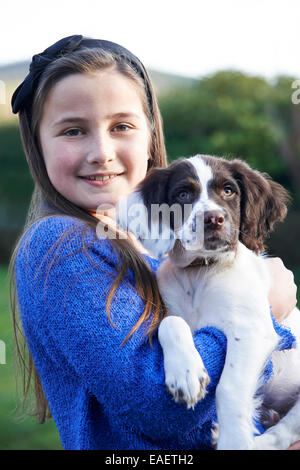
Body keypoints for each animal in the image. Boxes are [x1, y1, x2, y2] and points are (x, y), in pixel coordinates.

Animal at [117, 155, 300, 452]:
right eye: (183, 194)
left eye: (228, 190)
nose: (213, 219)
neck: (200, 271)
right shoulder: (171, 310)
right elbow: (171, 323)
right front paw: (186, 374)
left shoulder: (252, 330)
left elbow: (229, 387)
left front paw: (234, 441)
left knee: (282, 433)